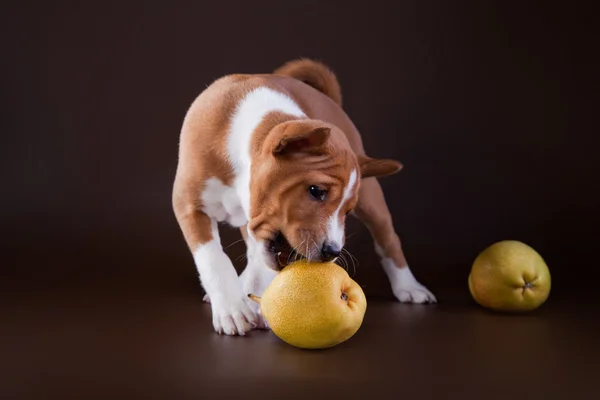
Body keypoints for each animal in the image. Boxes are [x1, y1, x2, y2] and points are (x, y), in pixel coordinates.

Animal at [173, 58, 436, 334]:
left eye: (347, 211)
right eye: (316, 191)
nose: (332, 251)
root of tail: (328, 99)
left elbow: (260, 267)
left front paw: (255, 305)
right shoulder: (188, 205)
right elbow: (214, 259)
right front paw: (232, 309)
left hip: (371, 198)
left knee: (388, 239)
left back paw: (409, 287)